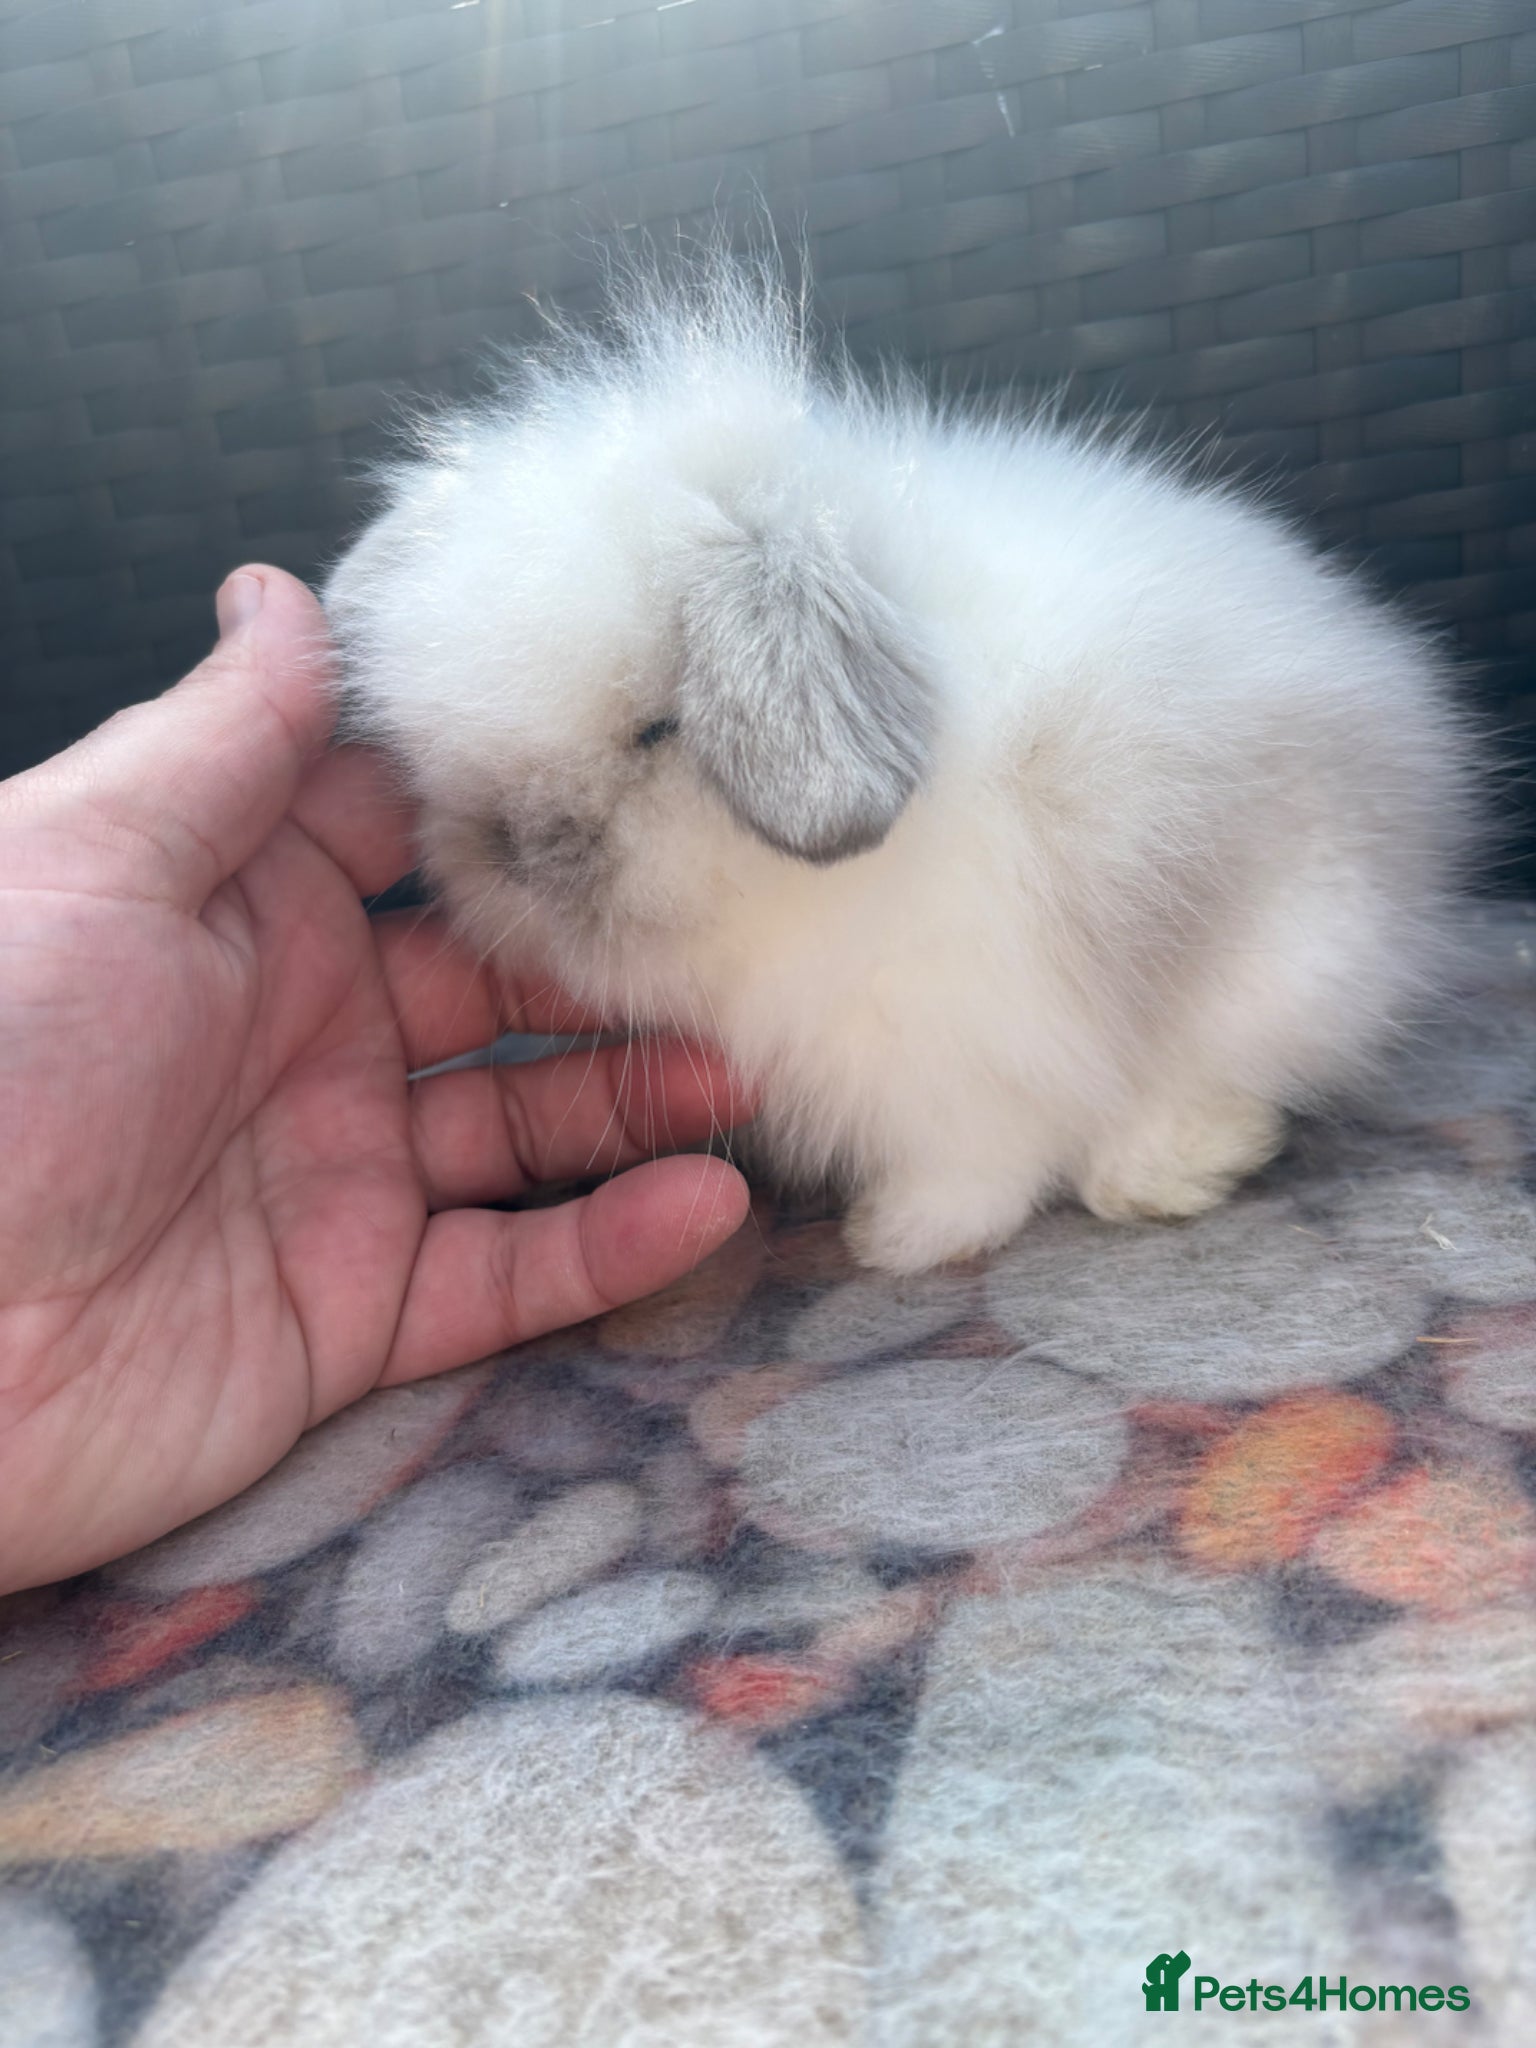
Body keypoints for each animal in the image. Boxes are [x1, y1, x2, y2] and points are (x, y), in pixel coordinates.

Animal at [322, 251, 1480, 1275]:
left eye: (659, 729)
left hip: (1283, 961)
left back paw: (1158, 1172)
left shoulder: (963, 1048)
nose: (507, 855)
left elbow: (978, 1160)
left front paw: (899, 1240)